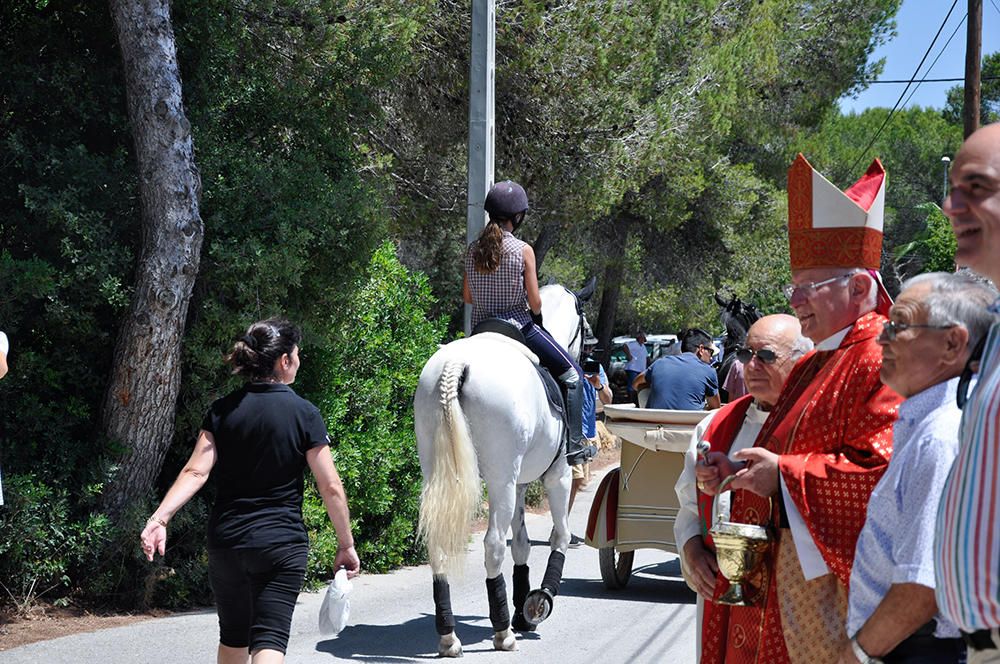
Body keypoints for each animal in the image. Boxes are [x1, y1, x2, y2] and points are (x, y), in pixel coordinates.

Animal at [414, 282, 592, 660]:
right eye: (583, 321)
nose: (591, 355)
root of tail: (457, 363)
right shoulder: (557, 476)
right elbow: (559, 536)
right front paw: (539, 602)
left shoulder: (521, 483)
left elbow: (522, 544)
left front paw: (523, 609)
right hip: (500, 481)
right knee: (493, 544)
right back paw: (502, 632)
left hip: (440, 474)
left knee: (438, 543)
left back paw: (449, 636)